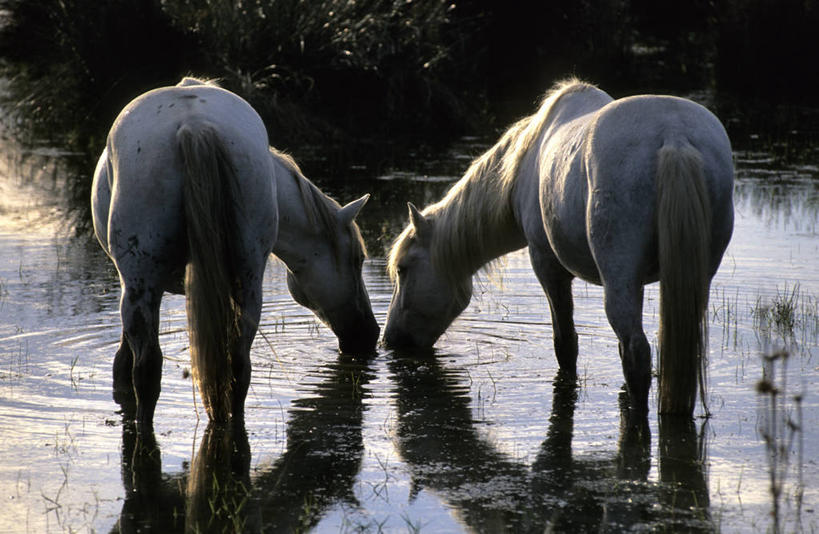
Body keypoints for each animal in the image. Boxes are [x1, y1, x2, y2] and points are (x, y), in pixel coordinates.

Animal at [93, 78, 378, 432]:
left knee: (147, 372)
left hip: (140, 286)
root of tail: (194, 125)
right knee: (239, 366)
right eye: (357, 260)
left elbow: (123, 365)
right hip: (247, 282)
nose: (369, 334)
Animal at [384, 77, 736, 416]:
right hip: (695, 277)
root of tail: (674, 137)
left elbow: (565, 344)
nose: (391, 340)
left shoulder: (547, 264)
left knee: (634, 352)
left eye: (403, 269)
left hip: (620, 279)